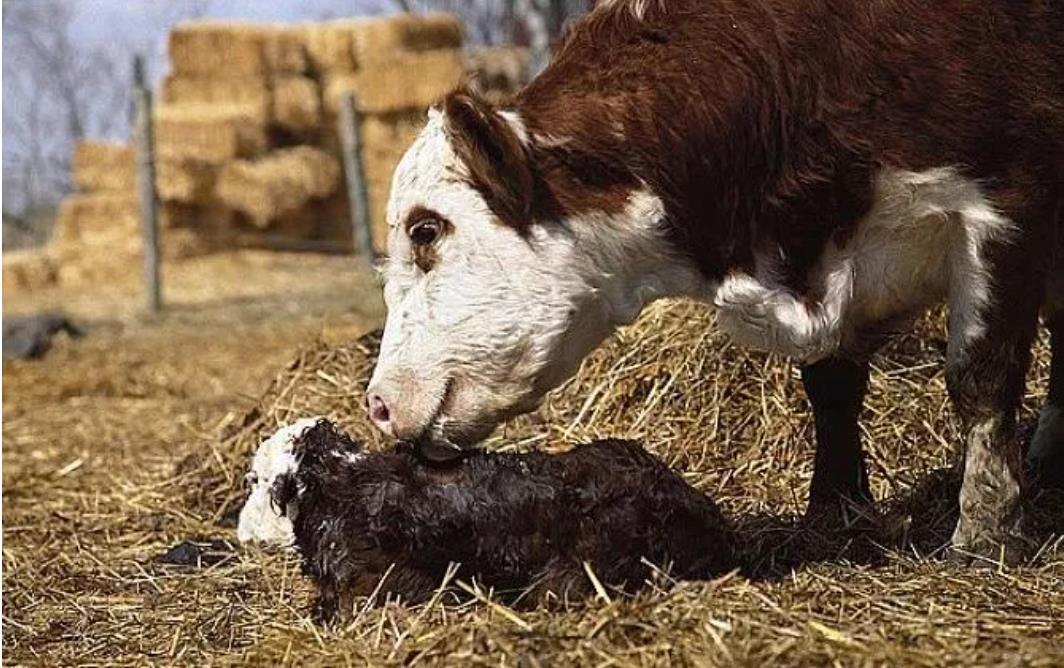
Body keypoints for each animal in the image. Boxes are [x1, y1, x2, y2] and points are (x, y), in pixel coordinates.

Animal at [363, 0, 1055, 561]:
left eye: (426, 230)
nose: (377, 404)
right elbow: (832, 390)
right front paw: (833, 512)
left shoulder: (1005, 207)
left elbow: (981, 378)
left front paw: (986, 531)